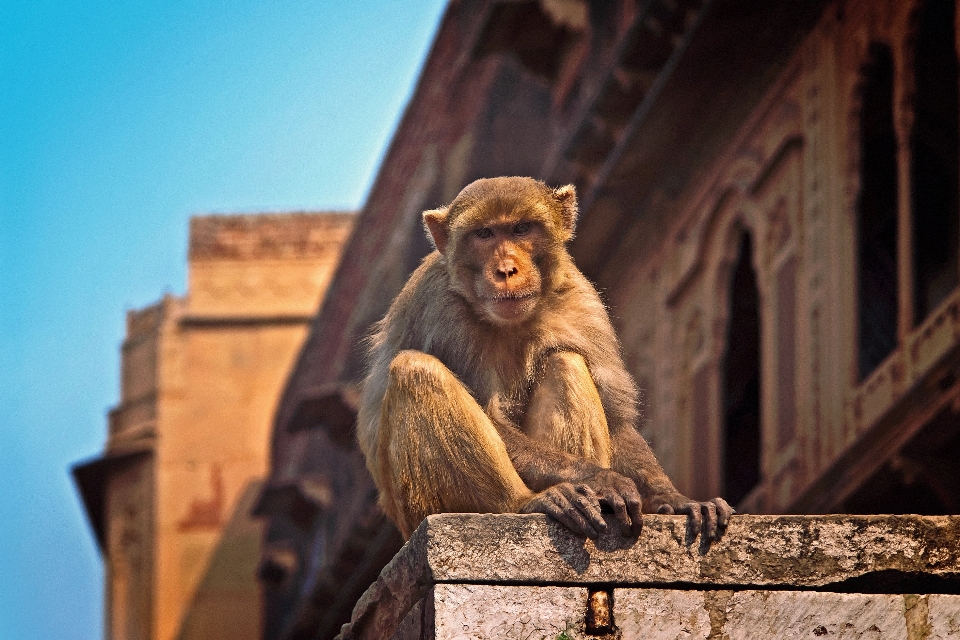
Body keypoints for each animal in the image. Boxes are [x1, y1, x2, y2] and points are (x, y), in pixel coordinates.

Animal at [356, 178, 732, 544]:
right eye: (484, 234)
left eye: (522, 229)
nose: (506, 270)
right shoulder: (439, 308)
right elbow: (492, 415)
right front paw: (600, 478)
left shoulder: (582, 300)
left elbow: (617, 419)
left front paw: (673, 499)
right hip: (415, 510)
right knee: (415, 370)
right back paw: (527, 502)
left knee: (566, 360)